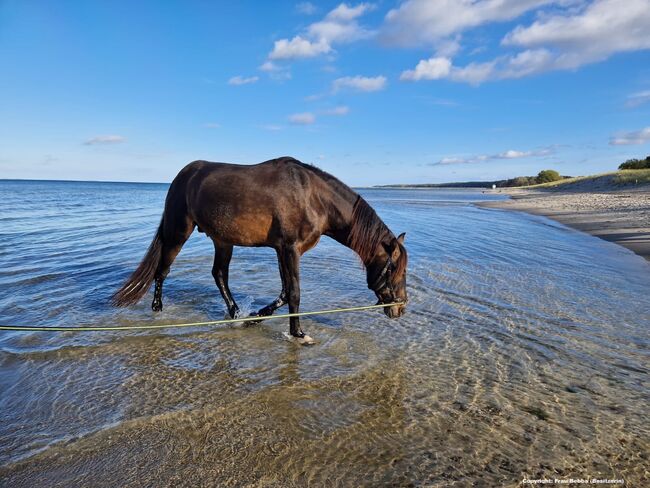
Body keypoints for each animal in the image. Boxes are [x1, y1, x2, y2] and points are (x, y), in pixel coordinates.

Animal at [111, 157, 404, 344]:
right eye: (395, 270)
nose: (400, 308)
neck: (312, 197)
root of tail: (183, 176)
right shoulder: (290, 249)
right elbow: (294, 293)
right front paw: (298, 334)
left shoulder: (281, 250)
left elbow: (284, 293)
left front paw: (253, 318)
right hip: (178, 232)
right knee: (163, 269)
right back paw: (157, 308)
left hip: (222, 240)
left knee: (219, 275)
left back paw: (234, 313)